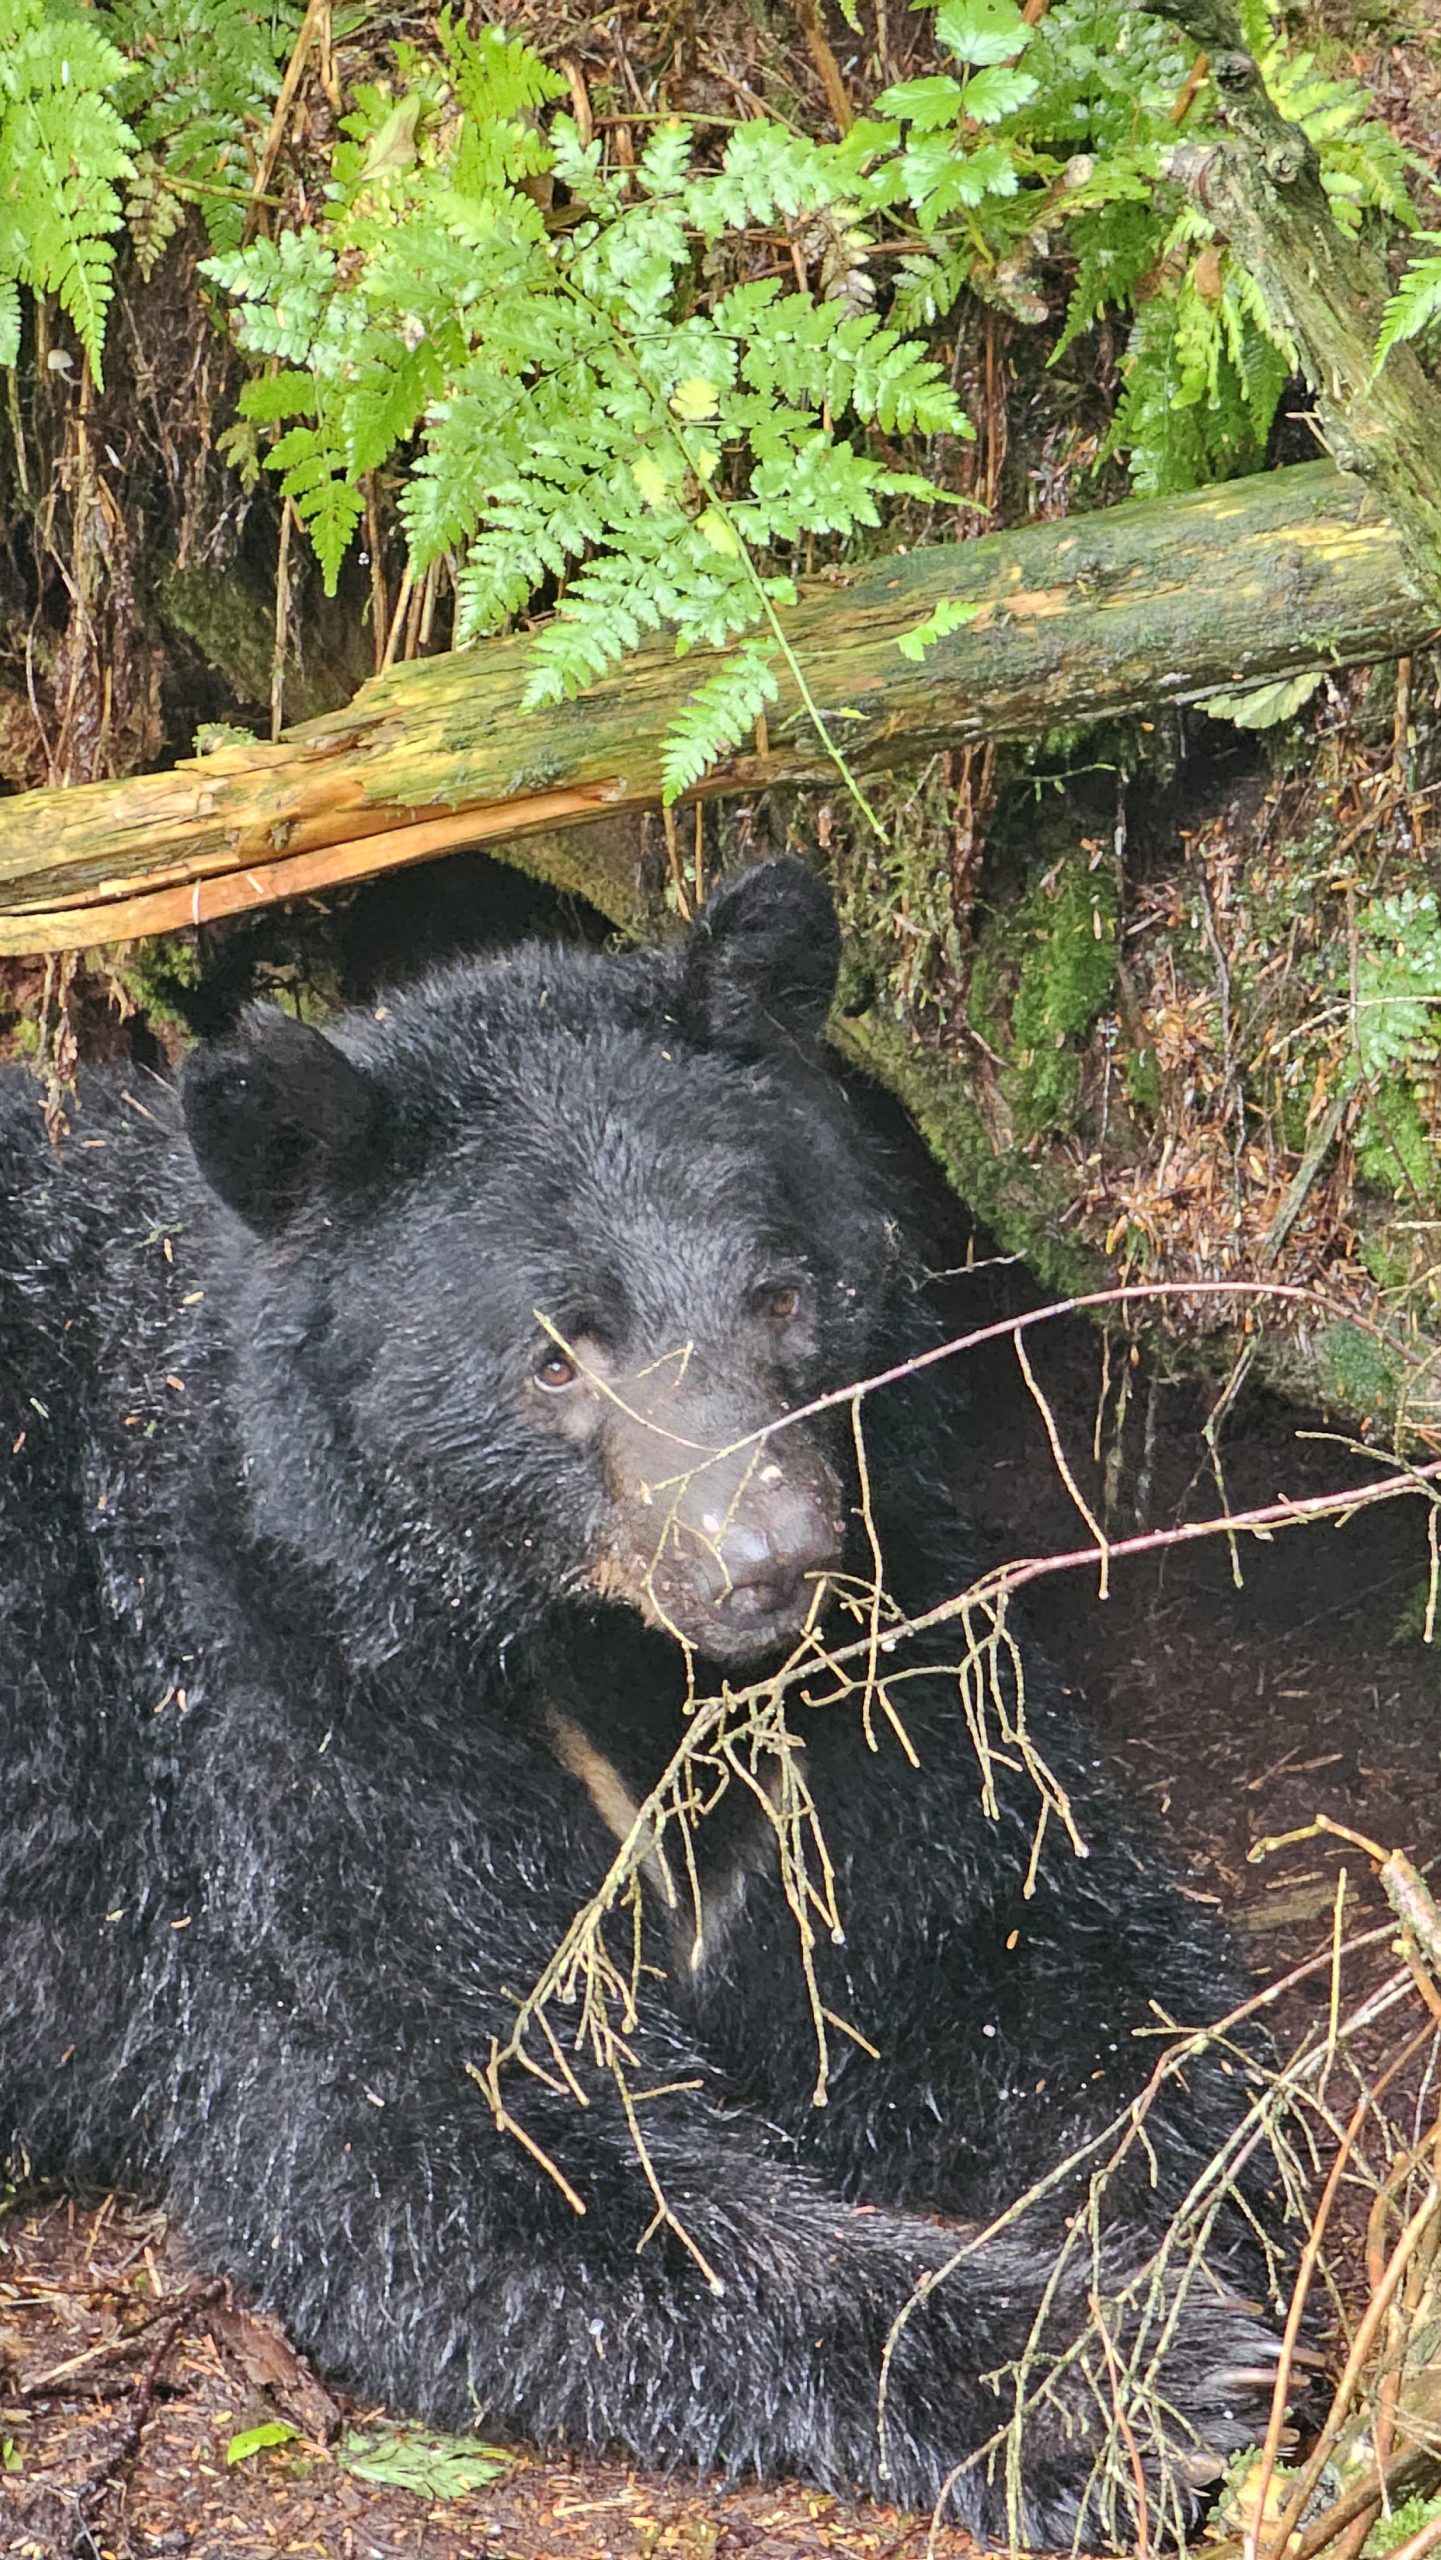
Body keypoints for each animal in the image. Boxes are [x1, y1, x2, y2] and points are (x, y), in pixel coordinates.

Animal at [0, 858, 1285, 2545]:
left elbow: (1021, 1928)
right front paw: (1109, 2379)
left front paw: (1159, 2211)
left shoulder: (885, 1664)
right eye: (557, 1351)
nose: (771, 1553)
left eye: (785, 1293)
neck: (613, 1660)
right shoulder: (264, 1736)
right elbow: (449, 2140)